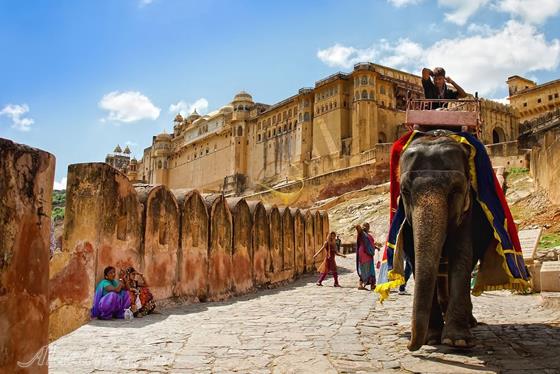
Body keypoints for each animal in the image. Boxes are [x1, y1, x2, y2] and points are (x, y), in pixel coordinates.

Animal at [398, 134, 494, 350]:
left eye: (456, 190)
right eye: (405, 191)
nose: (409, 346)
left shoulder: (468, 209)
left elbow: (462, 254)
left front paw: (457, 340)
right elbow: (416, 258)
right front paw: (431, 338)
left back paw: (470, 322)